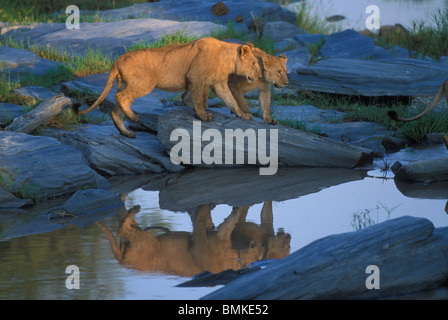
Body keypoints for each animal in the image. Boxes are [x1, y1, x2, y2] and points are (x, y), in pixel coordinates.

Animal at [75, 37, 260, 138]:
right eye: (254, 63)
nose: (258, 76)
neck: (228, 59)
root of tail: (117, 60)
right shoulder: (195, 78)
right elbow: (198, 100)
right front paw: (203, 116)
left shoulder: (218, 84)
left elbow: (231, 101)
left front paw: (243, 115)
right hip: (146, 83)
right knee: (120, 98)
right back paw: (134, 118)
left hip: (124, 84)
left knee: (116, 109)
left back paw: (127, 132)